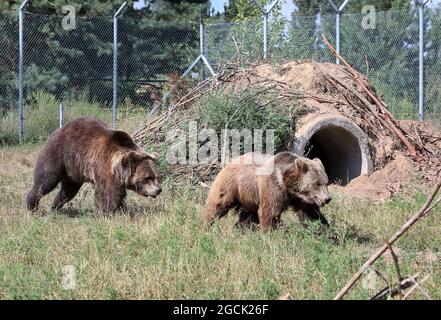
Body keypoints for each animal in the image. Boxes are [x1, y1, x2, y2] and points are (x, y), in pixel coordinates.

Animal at [25, 117, 161, 212]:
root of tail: (56, 131)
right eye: (147, 177)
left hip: (73, 170)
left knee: (68, 190)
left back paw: (55, 206)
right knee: (46, 180)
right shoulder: (104, 166)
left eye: (157, 177)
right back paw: (32, 205)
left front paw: (120, 208)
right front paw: (111, 210)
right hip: (58, 154)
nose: (158, 190)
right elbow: (109, 192)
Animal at [202, 152, 330, 232]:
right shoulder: (272, 188)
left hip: (248, 199)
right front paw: (271, 233)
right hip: (232, 186)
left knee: (247, 217)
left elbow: (312, 215)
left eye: (326, 182)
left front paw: (327, 234)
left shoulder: (300, 199)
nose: (328, 199)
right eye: (317, 183)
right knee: (217, 205)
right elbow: (270, 213)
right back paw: (205, 225)